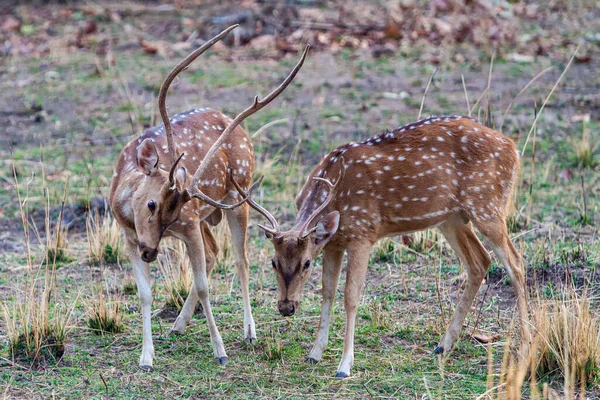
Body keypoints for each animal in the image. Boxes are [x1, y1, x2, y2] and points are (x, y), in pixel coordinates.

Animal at [106, 24, 310, 368]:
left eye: (170, 211)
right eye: (151, 203)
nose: (150, 252)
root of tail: (236, 127)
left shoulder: (187, 224)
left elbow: (202, 285)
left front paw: (220, 351)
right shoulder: (129, 236)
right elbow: (145, 292)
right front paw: (146, 357)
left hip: (238, 195)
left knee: (240, 259)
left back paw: (249, 331)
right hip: (205, 217)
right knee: (215, 252)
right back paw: (178, 325)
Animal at [234, 115, 528, 378]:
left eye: (306, 263)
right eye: (274, 262)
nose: (286, 307)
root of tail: (513, 149)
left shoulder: (363, 233)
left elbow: (350, 297)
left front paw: (344, 366)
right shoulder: (333, 243)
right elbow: (327, 292)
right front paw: (315, 353)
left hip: (487, 205)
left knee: (516, 262)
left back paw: (524, 346)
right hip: (452, 218)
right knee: (479, 261)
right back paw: (443, 346)